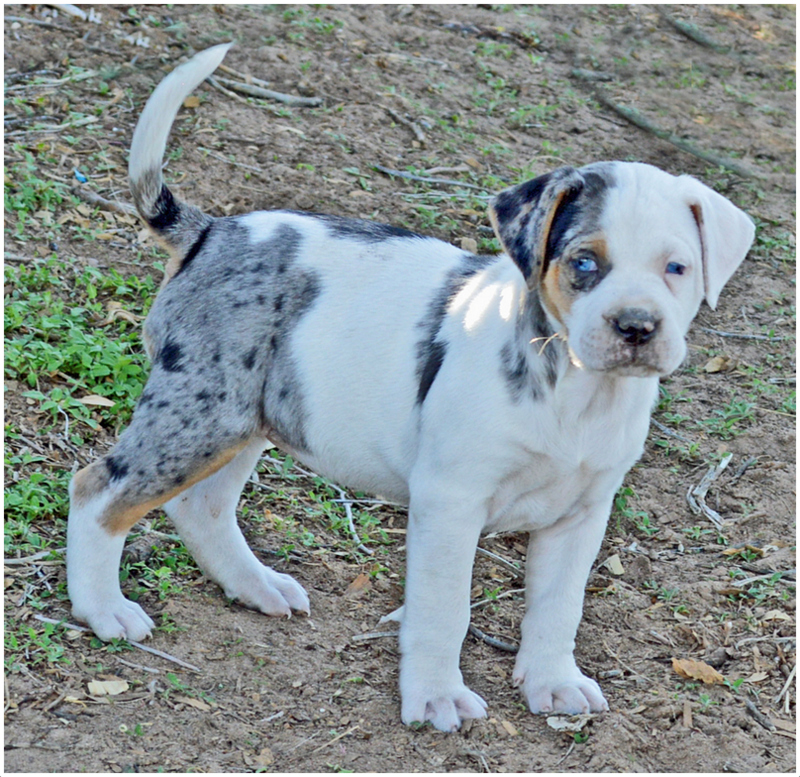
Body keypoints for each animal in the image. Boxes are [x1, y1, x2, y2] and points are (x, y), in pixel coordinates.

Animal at [67, 45, 756, 732]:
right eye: (585, 263)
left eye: (677, 268)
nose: (636, 327)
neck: (579, 393)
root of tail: (211, 232)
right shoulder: (451, 503)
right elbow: (444, 610)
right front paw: (437, 697)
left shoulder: (581, 515)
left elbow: (559, 607)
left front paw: (554, 683)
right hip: (199, 413)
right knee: (99, 489)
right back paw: (103, 610)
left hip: (245, 419)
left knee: (201, 506)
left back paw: (256, 586)